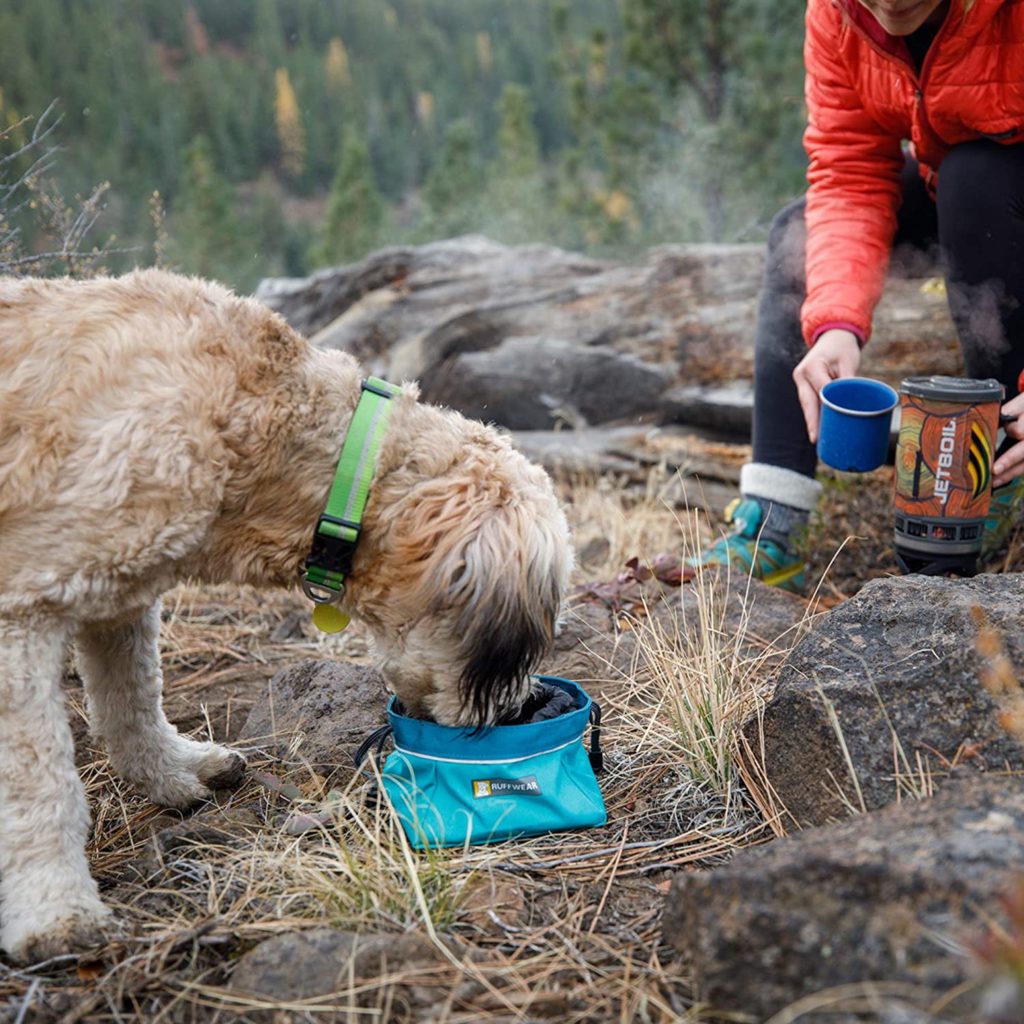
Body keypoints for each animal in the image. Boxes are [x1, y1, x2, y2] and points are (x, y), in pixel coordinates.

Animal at [0, 268, 577, 962]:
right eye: (517, 640)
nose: (526, 707)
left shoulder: (121, 596)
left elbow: (132, 702)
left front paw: (170, 773)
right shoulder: (23, 610)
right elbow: (38, 778)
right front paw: (55, 908)